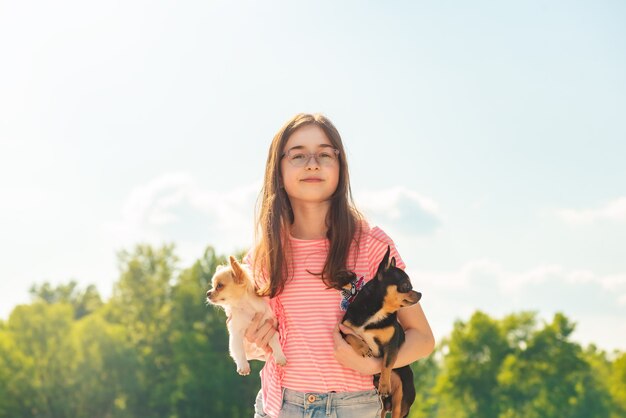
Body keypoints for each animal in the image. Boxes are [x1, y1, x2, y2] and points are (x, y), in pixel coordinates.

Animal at [338, 248, 422, 418]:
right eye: (406, 285)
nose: (420, 294)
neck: (377, 312)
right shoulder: (343, 329)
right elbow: (352, 335)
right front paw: (363, 348)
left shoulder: (391, 346)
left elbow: (386, 363)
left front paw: (384, 384)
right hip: (383, 406)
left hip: (400, 401)